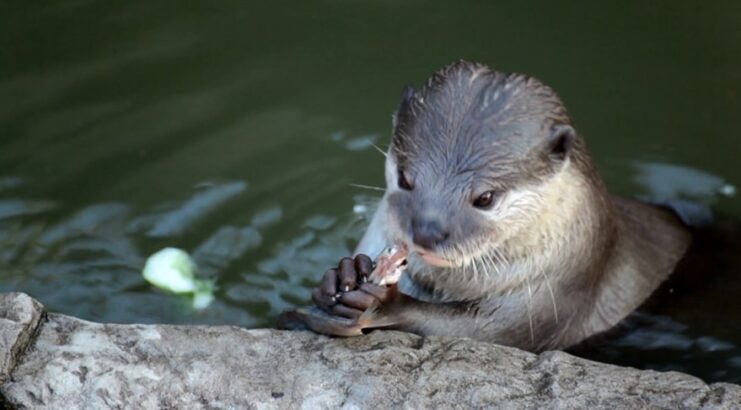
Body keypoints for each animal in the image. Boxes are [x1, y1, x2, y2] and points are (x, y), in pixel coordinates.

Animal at [276, 60, 688, 352]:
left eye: (485, 198)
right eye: (406, 178)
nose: (427, 229)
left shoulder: (555, 298)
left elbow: (482, 333)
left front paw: (386, 303)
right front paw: (343, 275)